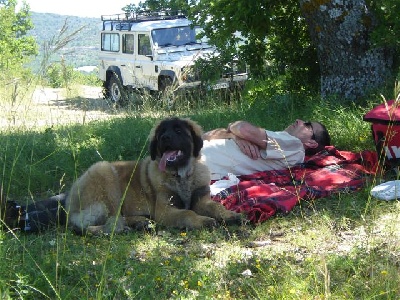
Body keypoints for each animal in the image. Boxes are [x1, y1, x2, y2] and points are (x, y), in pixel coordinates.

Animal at [65, 116, 241, 233]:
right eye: (161, 133)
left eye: (178, 130)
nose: (164, 138)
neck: (181, 175)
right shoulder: (165, 210)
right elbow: (187, 212)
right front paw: (203, 221)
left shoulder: (201, 200)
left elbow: (216, 206)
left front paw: (229, 215)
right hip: (104, 171)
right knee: (98, 223)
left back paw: (140, 222)